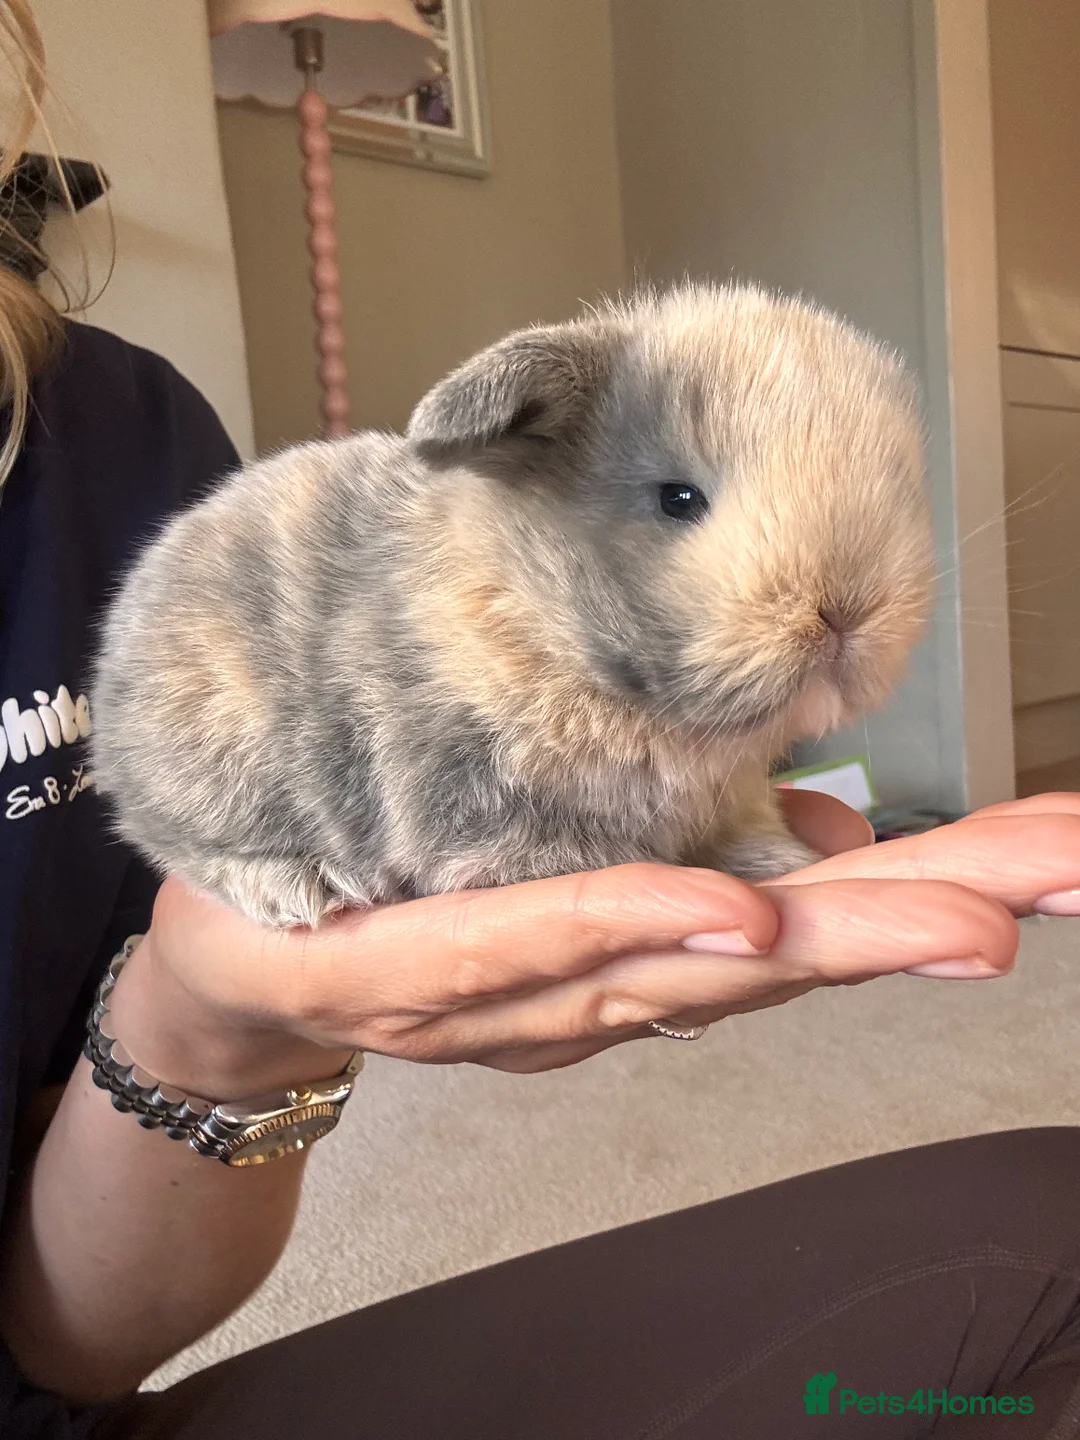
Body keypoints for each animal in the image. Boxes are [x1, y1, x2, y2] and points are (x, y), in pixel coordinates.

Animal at [91, 283, 933, 929]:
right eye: (678, 499)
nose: (844, 613)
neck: (539, 617)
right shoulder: (479, 805)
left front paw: (787, 858)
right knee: (188, 849)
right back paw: (305, 891)